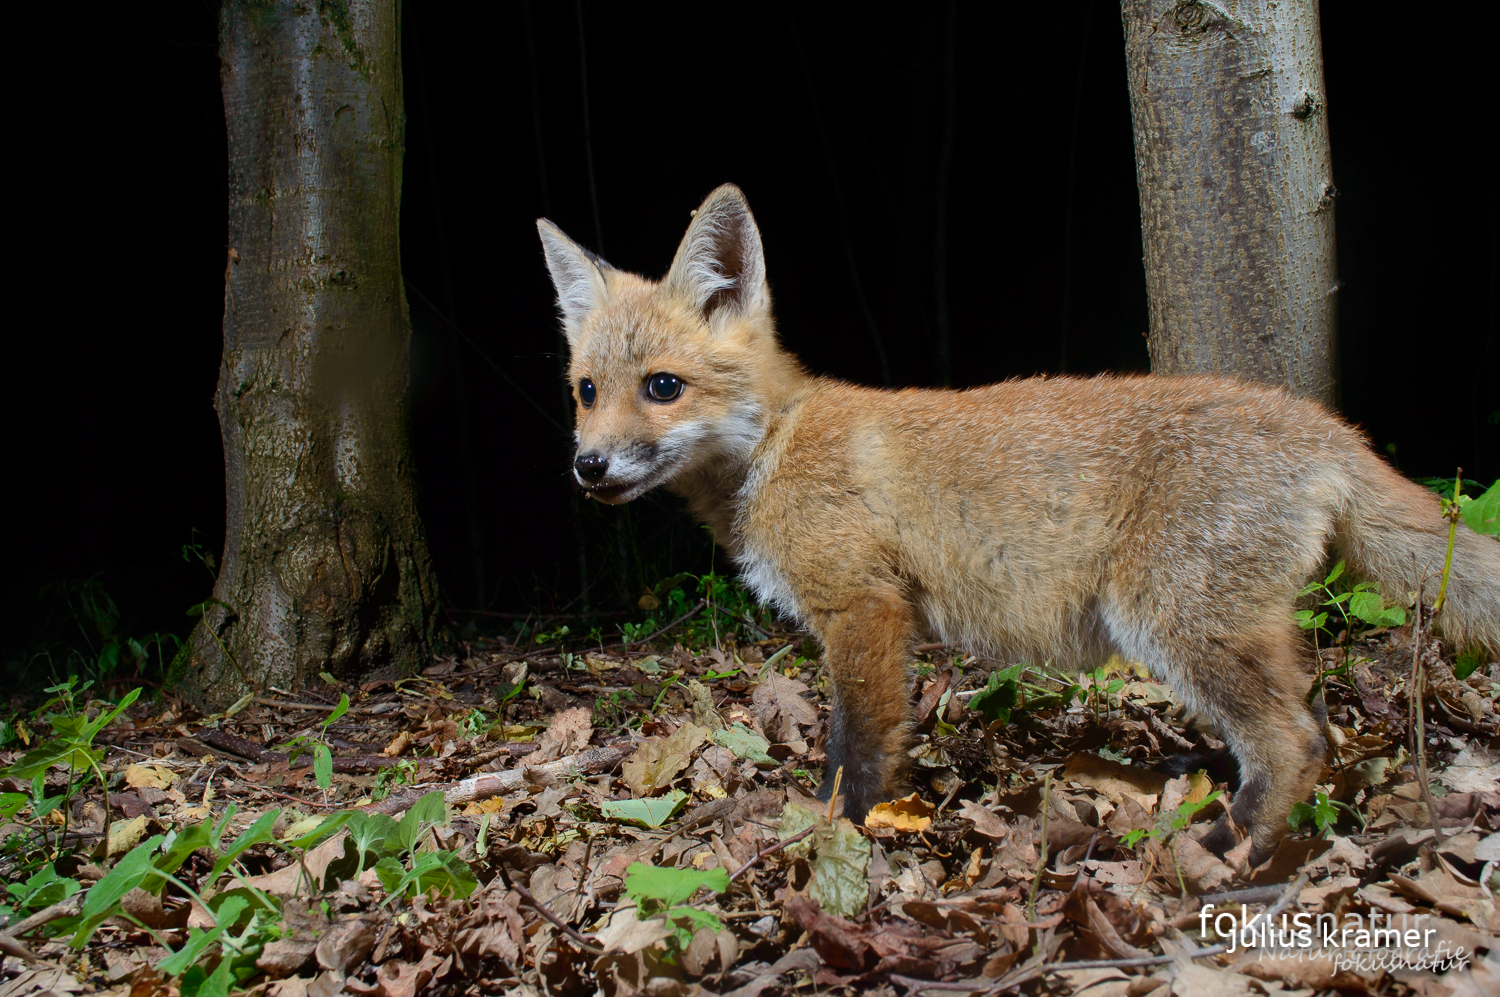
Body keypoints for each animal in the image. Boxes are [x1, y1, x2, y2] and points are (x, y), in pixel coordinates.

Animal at [540, 182, 1500, 857]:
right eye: (585, 390)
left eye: (663, 386)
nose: (587, 468)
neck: (777, 442)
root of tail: (1326, 424)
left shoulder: (863, 607)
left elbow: (857, 750)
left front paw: (834, 833)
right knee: (1313, 724)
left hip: (1172, 620)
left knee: (1295, 738)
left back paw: (1226, 847)